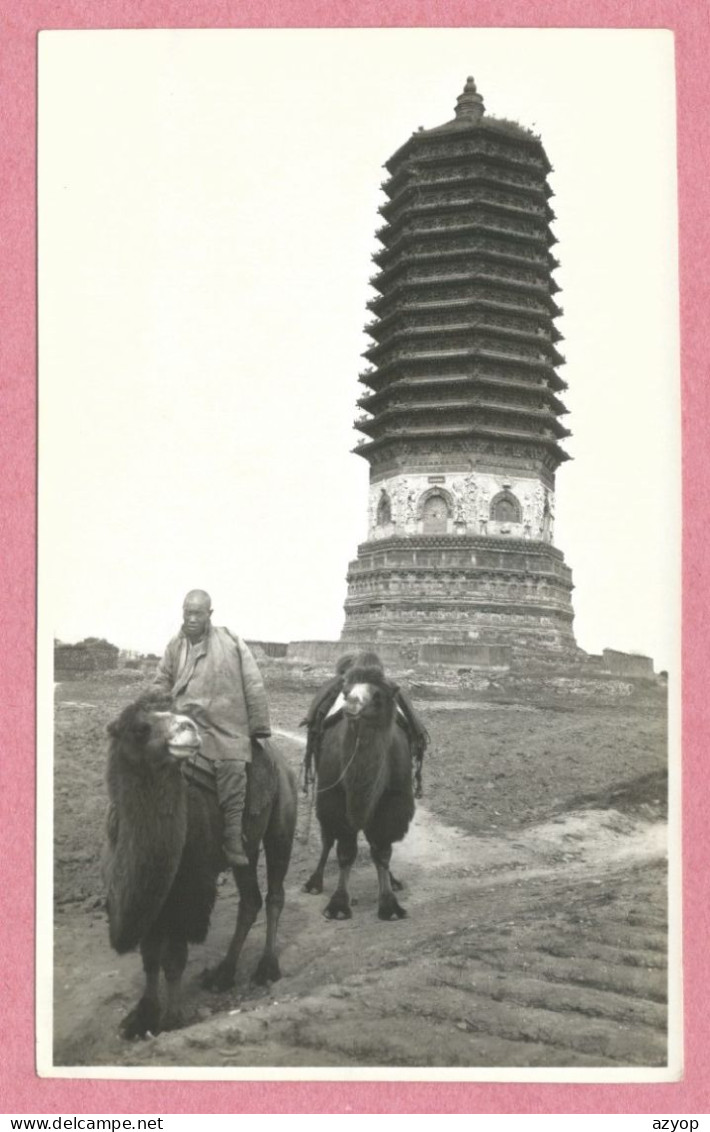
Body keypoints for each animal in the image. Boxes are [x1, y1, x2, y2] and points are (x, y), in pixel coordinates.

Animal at [103, 688, 296, 1036]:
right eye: (140, 728)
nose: (188, 728)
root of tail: (282, 763)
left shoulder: (190, 891)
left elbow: (173, 959)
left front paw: (171, 1019)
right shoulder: (155, 896)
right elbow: (150, 956)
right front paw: (142, 1016)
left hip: (282, 820)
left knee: (275, 893)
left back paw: (266, 968)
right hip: (243, 852)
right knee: (250, 899)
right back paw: (223, 974)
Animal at [303, 656, 414, 919]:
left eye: (378, 695)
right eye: (345, 691)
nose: (351, 704)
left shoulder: (393, 802)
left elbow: (382, 850)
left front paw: (390, 904)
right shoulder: (335, 799)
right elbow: (345, 851)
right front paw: (338, 905)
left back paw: (394, 881)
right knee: (327, 839)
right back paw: (314, 882)